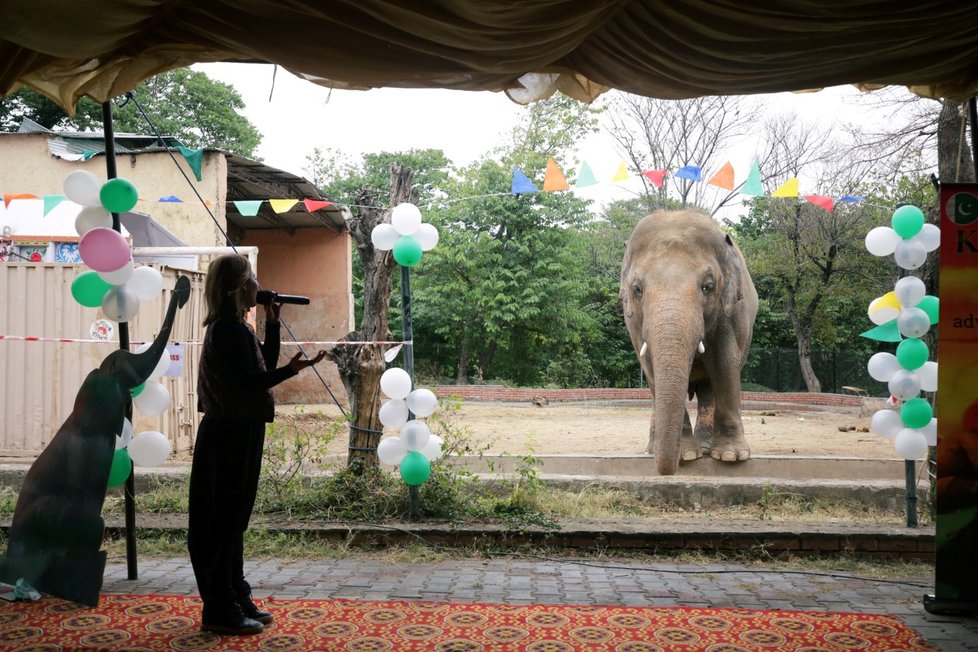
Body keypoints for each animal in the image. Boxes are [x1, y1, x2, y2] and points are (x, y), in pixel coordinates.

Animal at [620, 211, 760, 476]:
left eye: (708, 286)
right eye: (637, 289)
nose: (667, 471)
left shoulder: (730, 311)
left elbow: (724, 363)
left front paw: (731, 457)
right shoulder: (633, 322)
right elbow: (649, 368)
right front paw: (686, 456)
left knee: (708, 388)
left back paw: (706, 448)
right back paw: (653, 450)